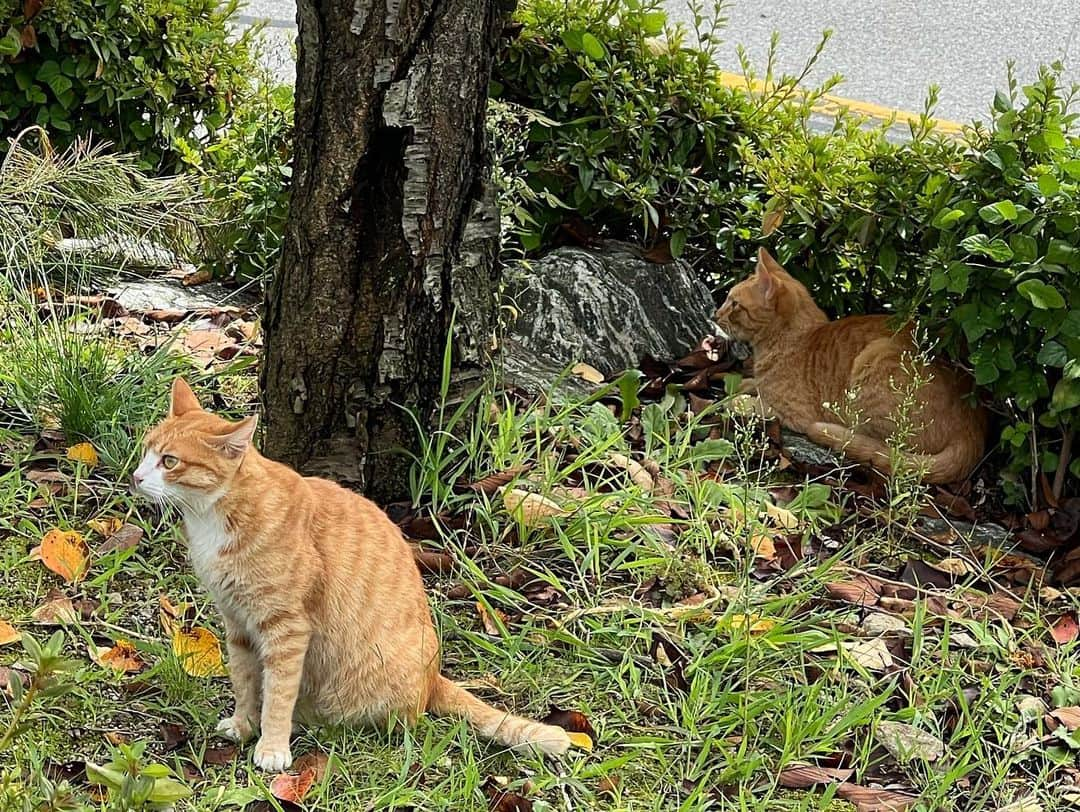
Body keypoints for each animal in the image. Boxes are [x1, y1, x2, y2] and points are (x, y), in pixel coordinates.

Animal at [133, 377, 574, 768]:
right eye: (146, 451)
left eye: (169, 462)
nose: (136, 477)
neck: (214, 517)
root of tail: (434, 677)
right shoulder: (237, 623)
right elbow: (244, 681)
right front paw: (243, 724)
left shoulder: (286, 628)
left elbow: (278, 692)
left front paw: (272, 746)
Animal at [717, 247, 989, 481]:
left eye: (734, 304)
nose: (716, 315)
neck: (793, 338)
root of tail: (974, 422)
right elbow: (751, 383)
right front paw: (735, 381)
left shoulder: (793, 413)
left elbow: (753, 404)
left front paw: (732, 400)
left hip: (872, 365)